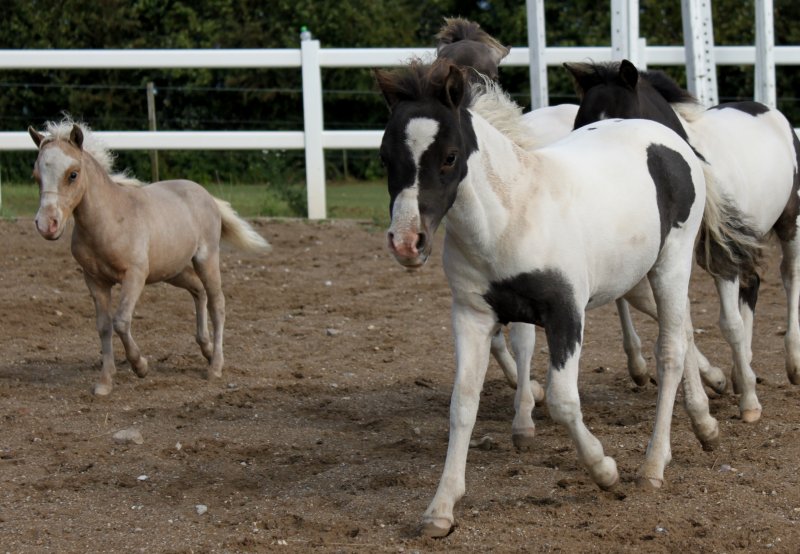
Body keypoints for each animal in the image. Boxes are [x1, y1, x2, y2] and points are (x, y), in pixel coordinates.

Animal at [28, 118, 271, 396]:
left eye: (73, 174)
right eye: (36, 176)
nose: (47, 225)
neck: (110, 220)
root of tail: (206, 194)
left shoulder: (134, 275)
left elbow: (121, 321)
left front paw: (141, 366)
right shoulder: (95, 281)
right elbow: (104, 326)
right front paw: (104, 383)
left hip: (206, 259)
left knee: (217, 303)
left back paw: (215, 366)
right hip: (173, 270)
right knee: (198, 291)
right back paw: (207, 349)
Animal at [375, 59, 722, 537]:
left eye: (449, 156)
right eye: (384, 157)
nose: (408, 243)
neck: (509, 217)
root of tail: (667, 138)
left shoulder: (565, 314)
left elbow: (561, 400)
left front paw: (604, 470)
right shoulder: (472, 316)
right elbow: (462, 404)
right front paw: (440, 508)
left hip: (671, 263)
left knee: (670, 350)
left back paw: (653, 466)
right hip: (638, 277)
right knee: (684, 331)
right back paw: (706, 426)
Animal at [565, 59, 800, 423]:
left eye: (622, 116)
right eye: (581, 122)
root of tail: (769, 111)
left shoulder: (721, 256)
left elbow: (728, 324)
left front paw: (749, 403)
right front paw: (718, 382)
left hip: (788, 223)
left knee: (789, 275)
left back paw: (791, 363)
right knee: (753, 285)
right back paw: (740, 372)